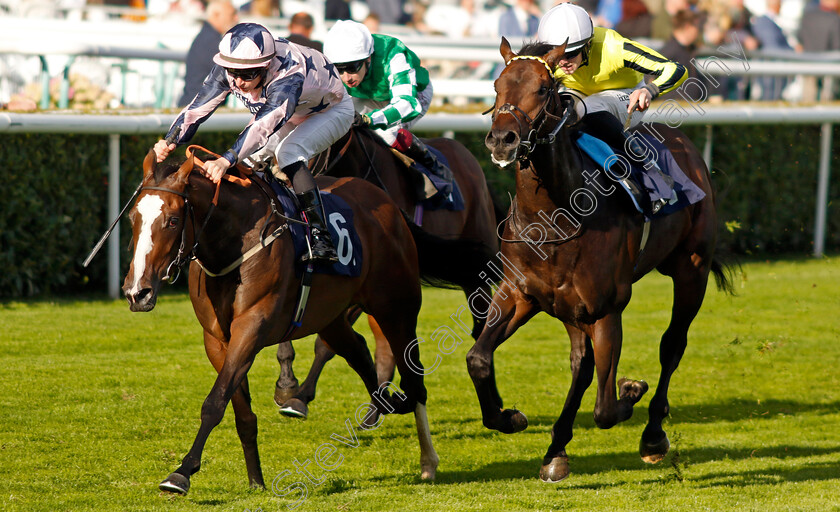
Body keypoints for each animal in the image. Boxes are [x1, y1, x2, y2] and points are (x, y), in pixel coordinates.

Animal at [122, 150, 466, 494]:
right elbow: (240, 411)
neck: (234, 243)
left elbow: (215, 402)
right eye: (133, 219)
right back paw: (383, 402)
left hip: (396, 309)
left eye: (173, 220)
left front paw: (181, 472)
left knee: (414, 378)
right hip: (331, 316)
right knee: (357, 349)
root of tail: (388, 203)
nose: (137, 292)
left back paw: (428, 461)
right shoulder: (217, 340)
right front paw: (256, 480)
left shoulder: (251, 327)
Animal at [272, 127, 502, 416]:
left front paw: (300, 396)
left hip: (476, 262)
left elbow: (326, 344)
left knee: (480, 323)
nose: (282, 182)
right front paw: (286, 382)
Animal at [472, 38, 736, 482]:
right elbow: (478, 358)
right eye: (496, 85)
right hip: (570, 309)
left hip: (691, 270)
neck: (555, 218)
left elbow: (606, 409)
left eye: (543, 88)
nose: (502, 140)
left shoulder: (606, 309)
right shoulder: (520, 294)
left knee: (672, 345)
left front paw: (631, 389)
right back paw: (556, 450)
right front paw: (509, 417)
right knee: (581, 365)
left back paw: (652, 434)